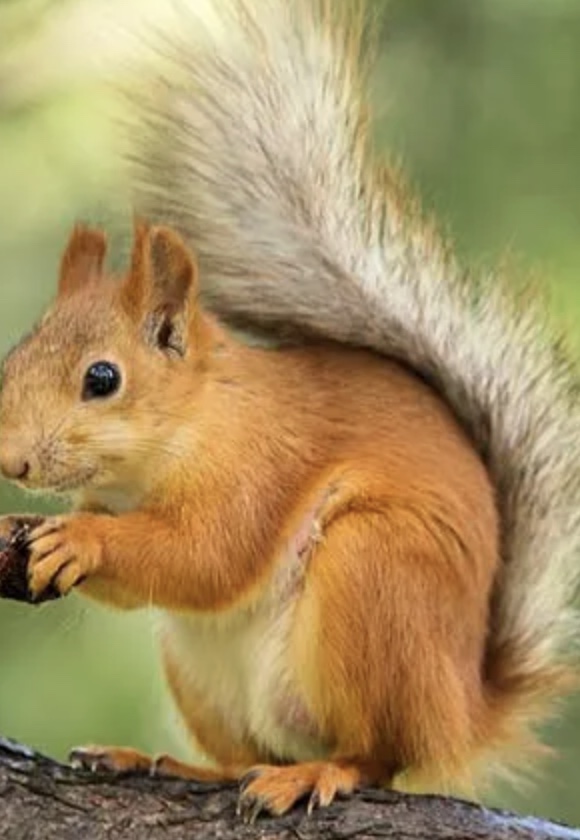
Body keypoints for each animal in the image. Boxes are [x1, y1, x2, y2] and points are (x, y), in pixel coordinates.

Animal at [0, 0, 579, 822]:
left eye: (102, 378)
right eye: (15, 357)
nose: (11, 459)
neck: (186, 431)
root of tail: (463, 709)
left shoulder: (258, 466)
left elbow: (206, 555)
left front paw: (83, 539)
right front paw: (28, 529)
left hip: (373, 575)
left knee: (379, 756)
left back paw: (320, 771)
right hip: (201, 672)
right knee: (248, 753)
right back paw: (167, 762)